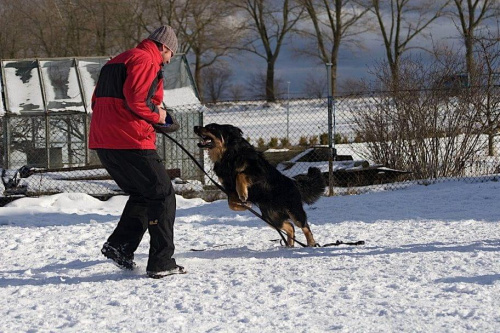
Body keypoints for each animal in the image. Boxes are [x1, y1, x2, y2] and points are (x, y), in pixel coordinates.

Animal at [193, 122, 326, 246]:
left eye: (211, 128)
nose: (195, 127)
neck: (228, 155)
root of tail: (294, 183)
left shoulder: (258, 171)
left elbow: (240, 175)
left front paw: (243, 193)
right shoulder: (228, 188)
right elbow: (231, 204)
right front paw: (244, 204)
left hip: (293, 211)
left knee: (304, 226)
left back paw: (311, 244)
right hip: (270, 217)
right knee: (290, 227)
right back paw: (289, 245)